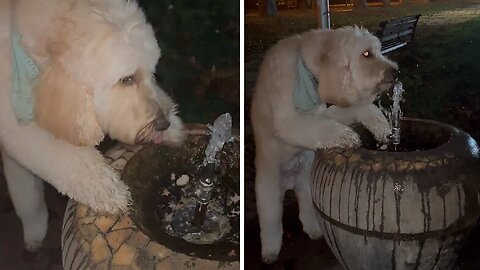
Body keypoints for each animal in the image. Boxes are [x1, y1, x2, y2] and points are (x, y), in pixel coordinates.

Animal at [0, 0, 184, 252]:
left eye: (152, 73)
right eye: (126, 79)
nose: (163, 124)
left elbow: (26, 192)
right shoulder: (18, 130)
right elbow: (65, 162)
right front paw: (109, 190)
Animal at [251, 26, 398, 262]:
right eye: (366, 54)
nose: (396, 73)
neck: (306, 70)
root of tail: (290, 182)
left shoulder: (323, 112)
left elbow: (352, 111)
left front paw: (379, 124)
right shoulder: (289, 121)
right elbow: (321, 128)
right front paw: (347, 136)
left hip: (306, 186)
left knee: (307, 212)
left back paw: (314, 230)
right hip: (269, 194)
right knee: (271, 224)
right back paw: (270, 251)